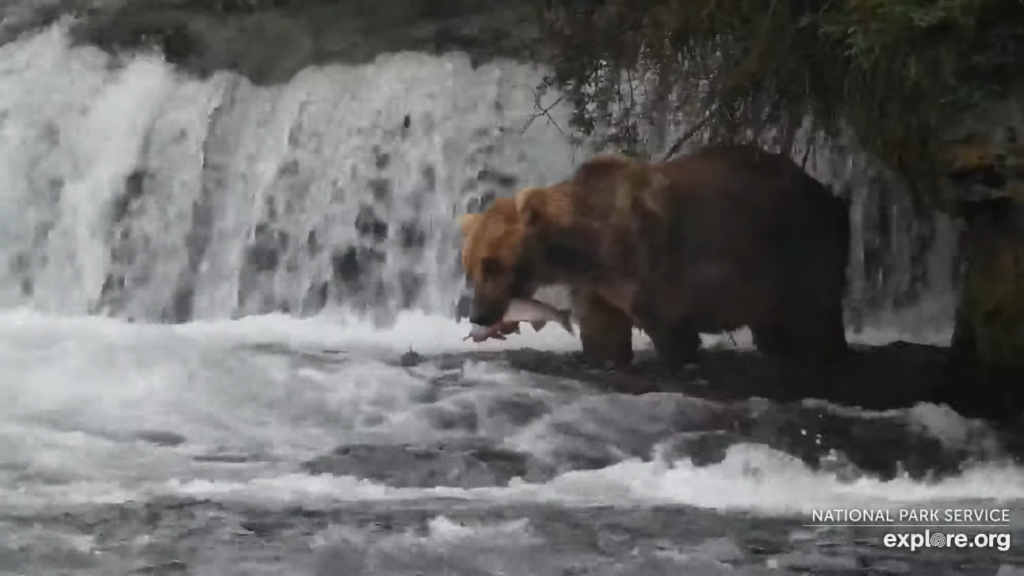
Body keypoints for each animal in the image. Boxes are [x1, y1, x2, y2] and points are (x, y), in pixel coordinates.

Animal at [460, 141, 851, 364]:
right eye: (471, 267)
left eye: (493, 264)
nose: (478, 314)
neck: (589, 249)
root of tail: (827, 192)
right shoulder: (596, 286)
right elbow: (604, 337)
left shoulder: (654, 269)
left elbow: (673, 333)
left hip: (800, 248)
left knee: (817, 319)